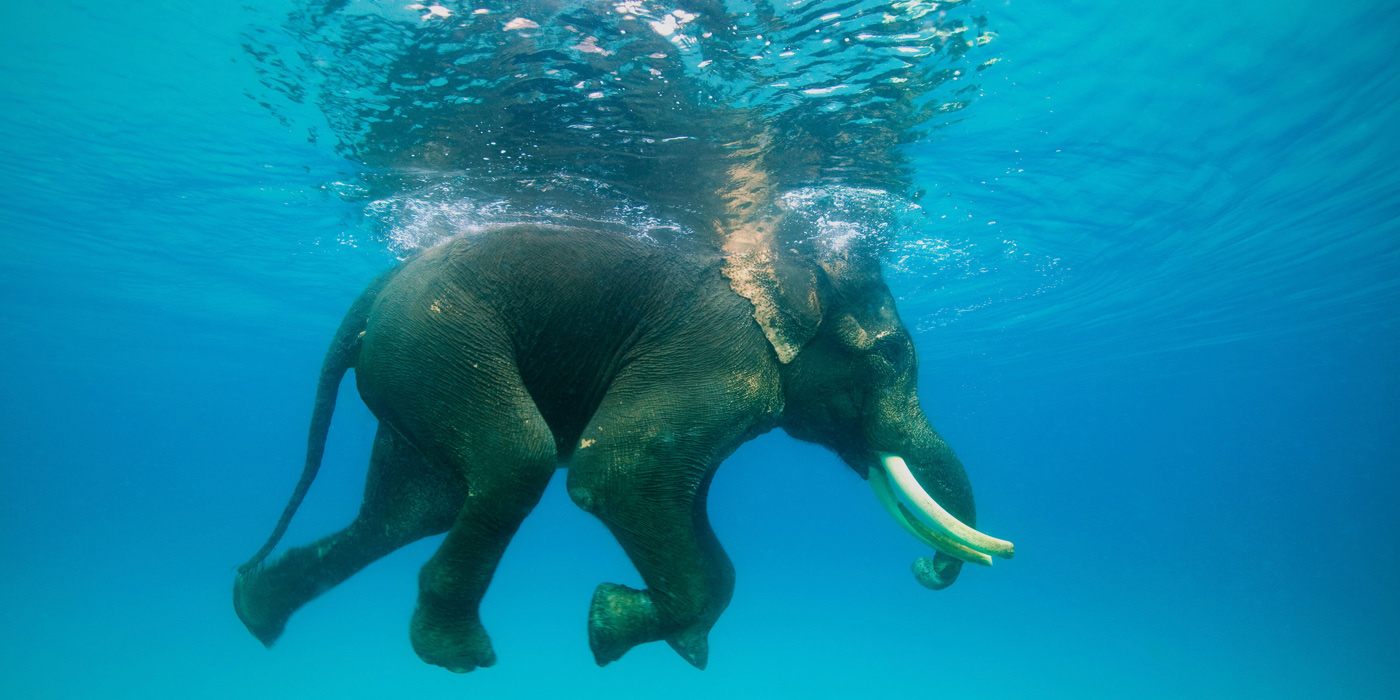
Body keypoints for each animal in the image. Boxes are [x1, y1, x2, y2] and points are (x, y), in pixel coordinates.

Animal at [235, 219, 1013, 672]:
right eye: (891, 355)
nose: (926, 569)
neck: (790, 271)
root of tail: (373, 293)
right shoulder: (720, 353)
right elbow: (616, 473)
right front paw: (607, 626)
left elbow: (685, 517)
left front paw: (665, 639)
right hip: (435, 337)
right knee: (514, 463)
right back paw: (458, 655)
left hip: (408, 364)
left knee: (414, 510)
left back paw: (255, 611)